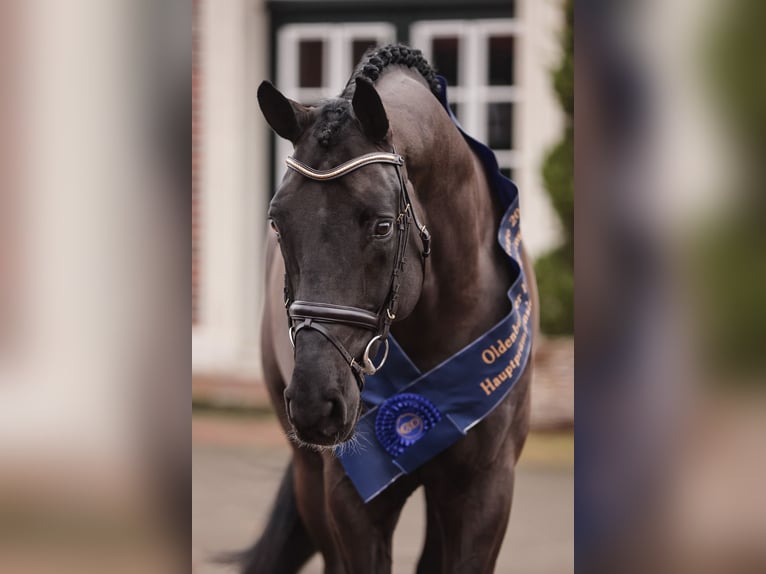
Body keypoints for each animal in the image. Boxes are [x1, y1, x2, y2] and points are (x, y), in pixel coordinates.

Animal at [236, 44, 538, 574]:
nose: (315, 402)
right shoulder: (352, 499)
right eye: (277, 222)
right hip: (309, 477)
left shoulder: (486, 489)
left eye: (381, 226)